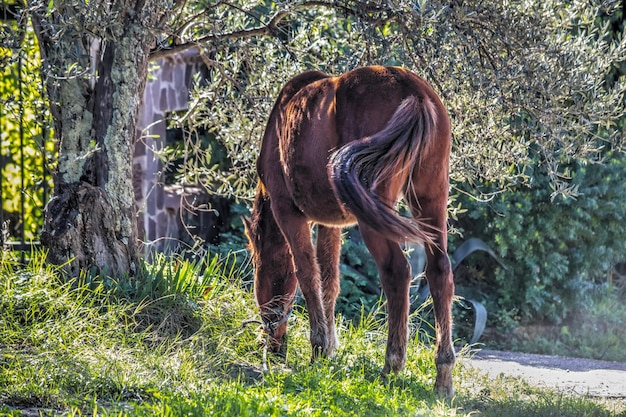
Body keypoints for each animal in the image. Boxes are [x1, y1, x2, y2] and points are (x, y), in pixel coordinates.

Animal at [244, 66, 454, 396]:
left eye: (257, 267)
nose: (274, 348)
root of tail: (413, 93)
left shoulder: (288, 213)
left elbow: (308, 275)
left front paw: (318, 349)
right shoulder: (330, 224)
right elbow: (329, 282)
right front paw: (329, 350)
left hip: (375, 218)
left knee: (397, 272)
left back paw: (392, 365)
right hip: (430, 199)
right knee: (439, 271)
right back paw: (443, 376)